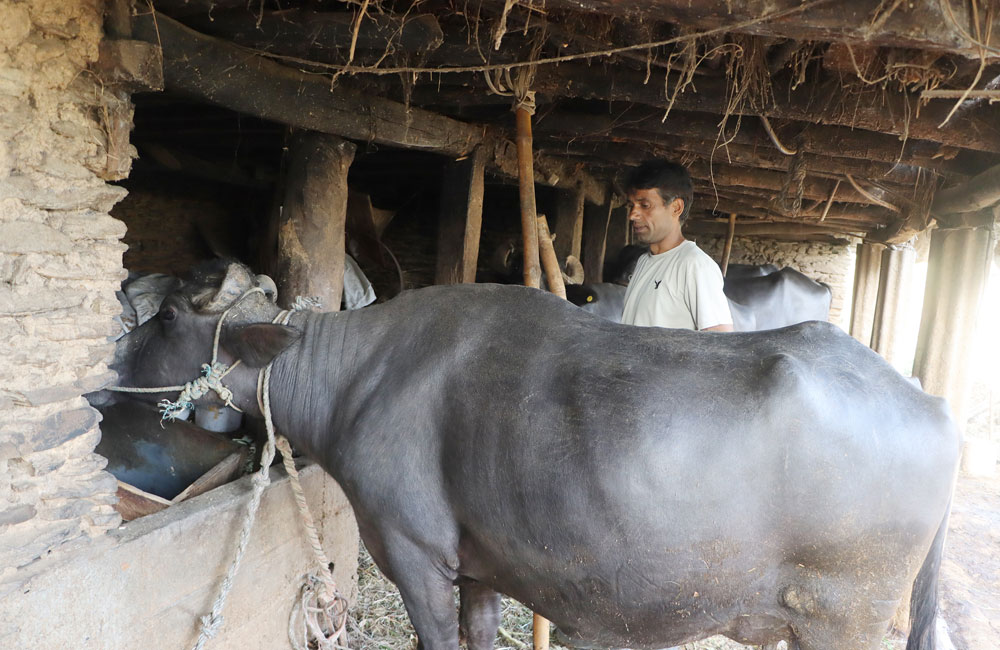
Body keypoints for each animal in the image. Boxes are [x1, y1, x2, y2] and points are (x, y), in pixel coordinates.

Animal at [94, 260, 959, 650]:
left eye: (165, 316)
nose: (101, 372)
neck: (357, 378)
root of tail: (936, 408)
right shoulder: (481, 568)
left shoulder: (413, 554)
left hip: (845, 618)